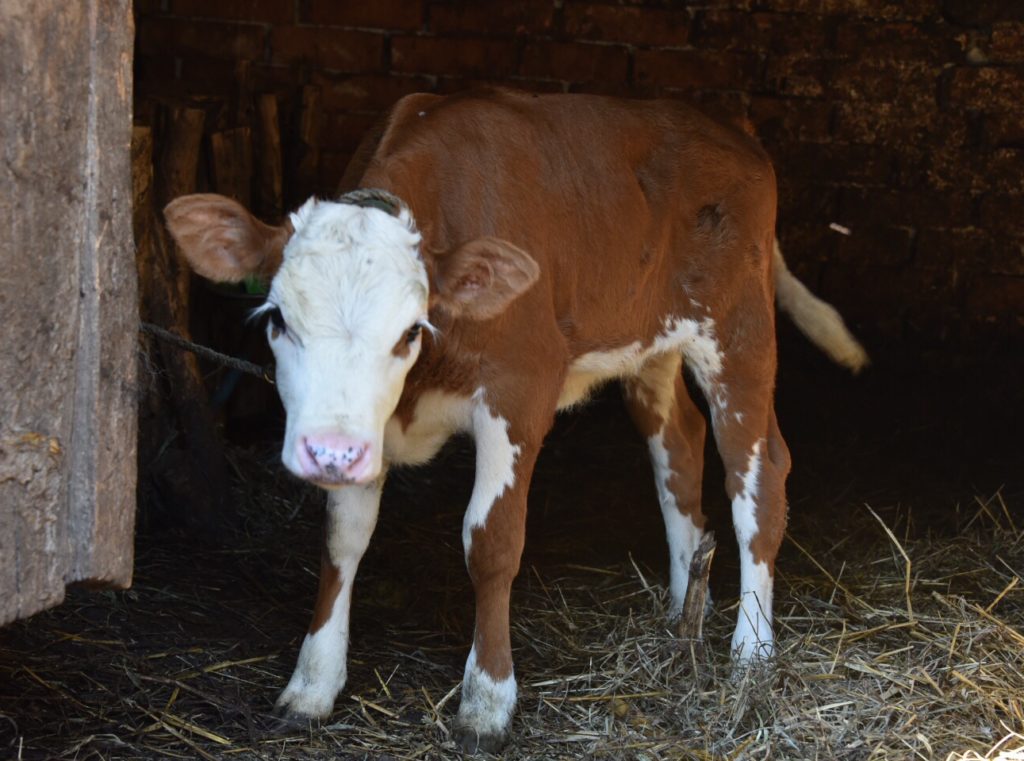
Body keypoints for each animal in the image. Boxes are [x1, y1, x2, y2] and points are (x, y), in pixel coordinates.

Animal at [163, 90, 868, 757]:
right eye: (277, 320)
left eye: (410, 330)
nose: (328, 454)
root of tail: (730, 131)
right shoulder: (363, 430)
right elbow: (342, 538)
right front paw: (312, 684)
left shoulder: (521, 390)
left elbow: (492, 541)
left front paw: (487, 702)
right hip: (652, 344)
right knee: (681, 444)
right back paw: (679, 611)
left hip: (739, 331)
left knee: (759, 471)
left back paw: (751, 654)